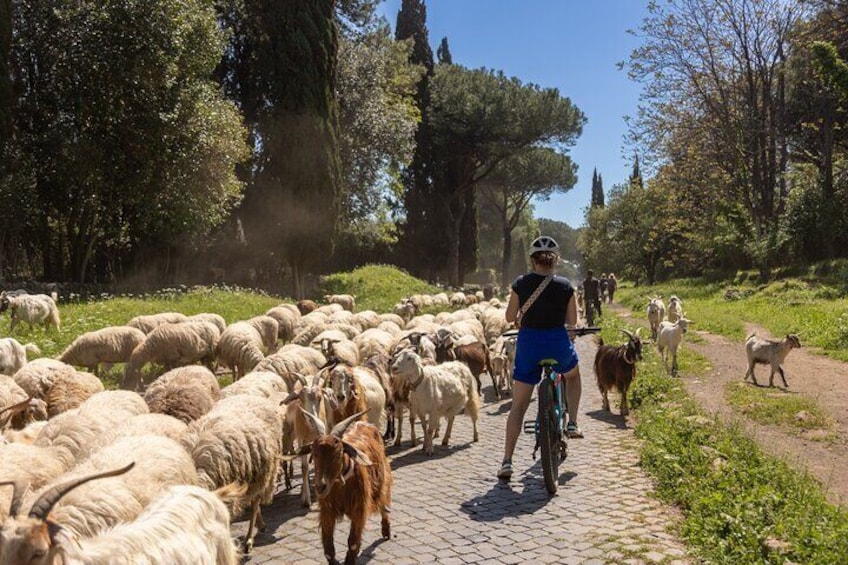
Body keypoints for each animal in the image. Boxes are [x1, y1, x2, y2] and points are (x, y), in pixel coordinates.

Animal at [294, 410, 392, 564]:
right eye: (314, 454)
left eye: (339, 453)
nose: (320, 486)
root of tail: (365, 424)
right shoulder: (327, 511)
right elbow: (328, 548)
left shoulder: (359, 509)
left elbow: (353, 542)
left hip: (382, 478)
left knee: (384, 500)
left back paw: (386, 530)